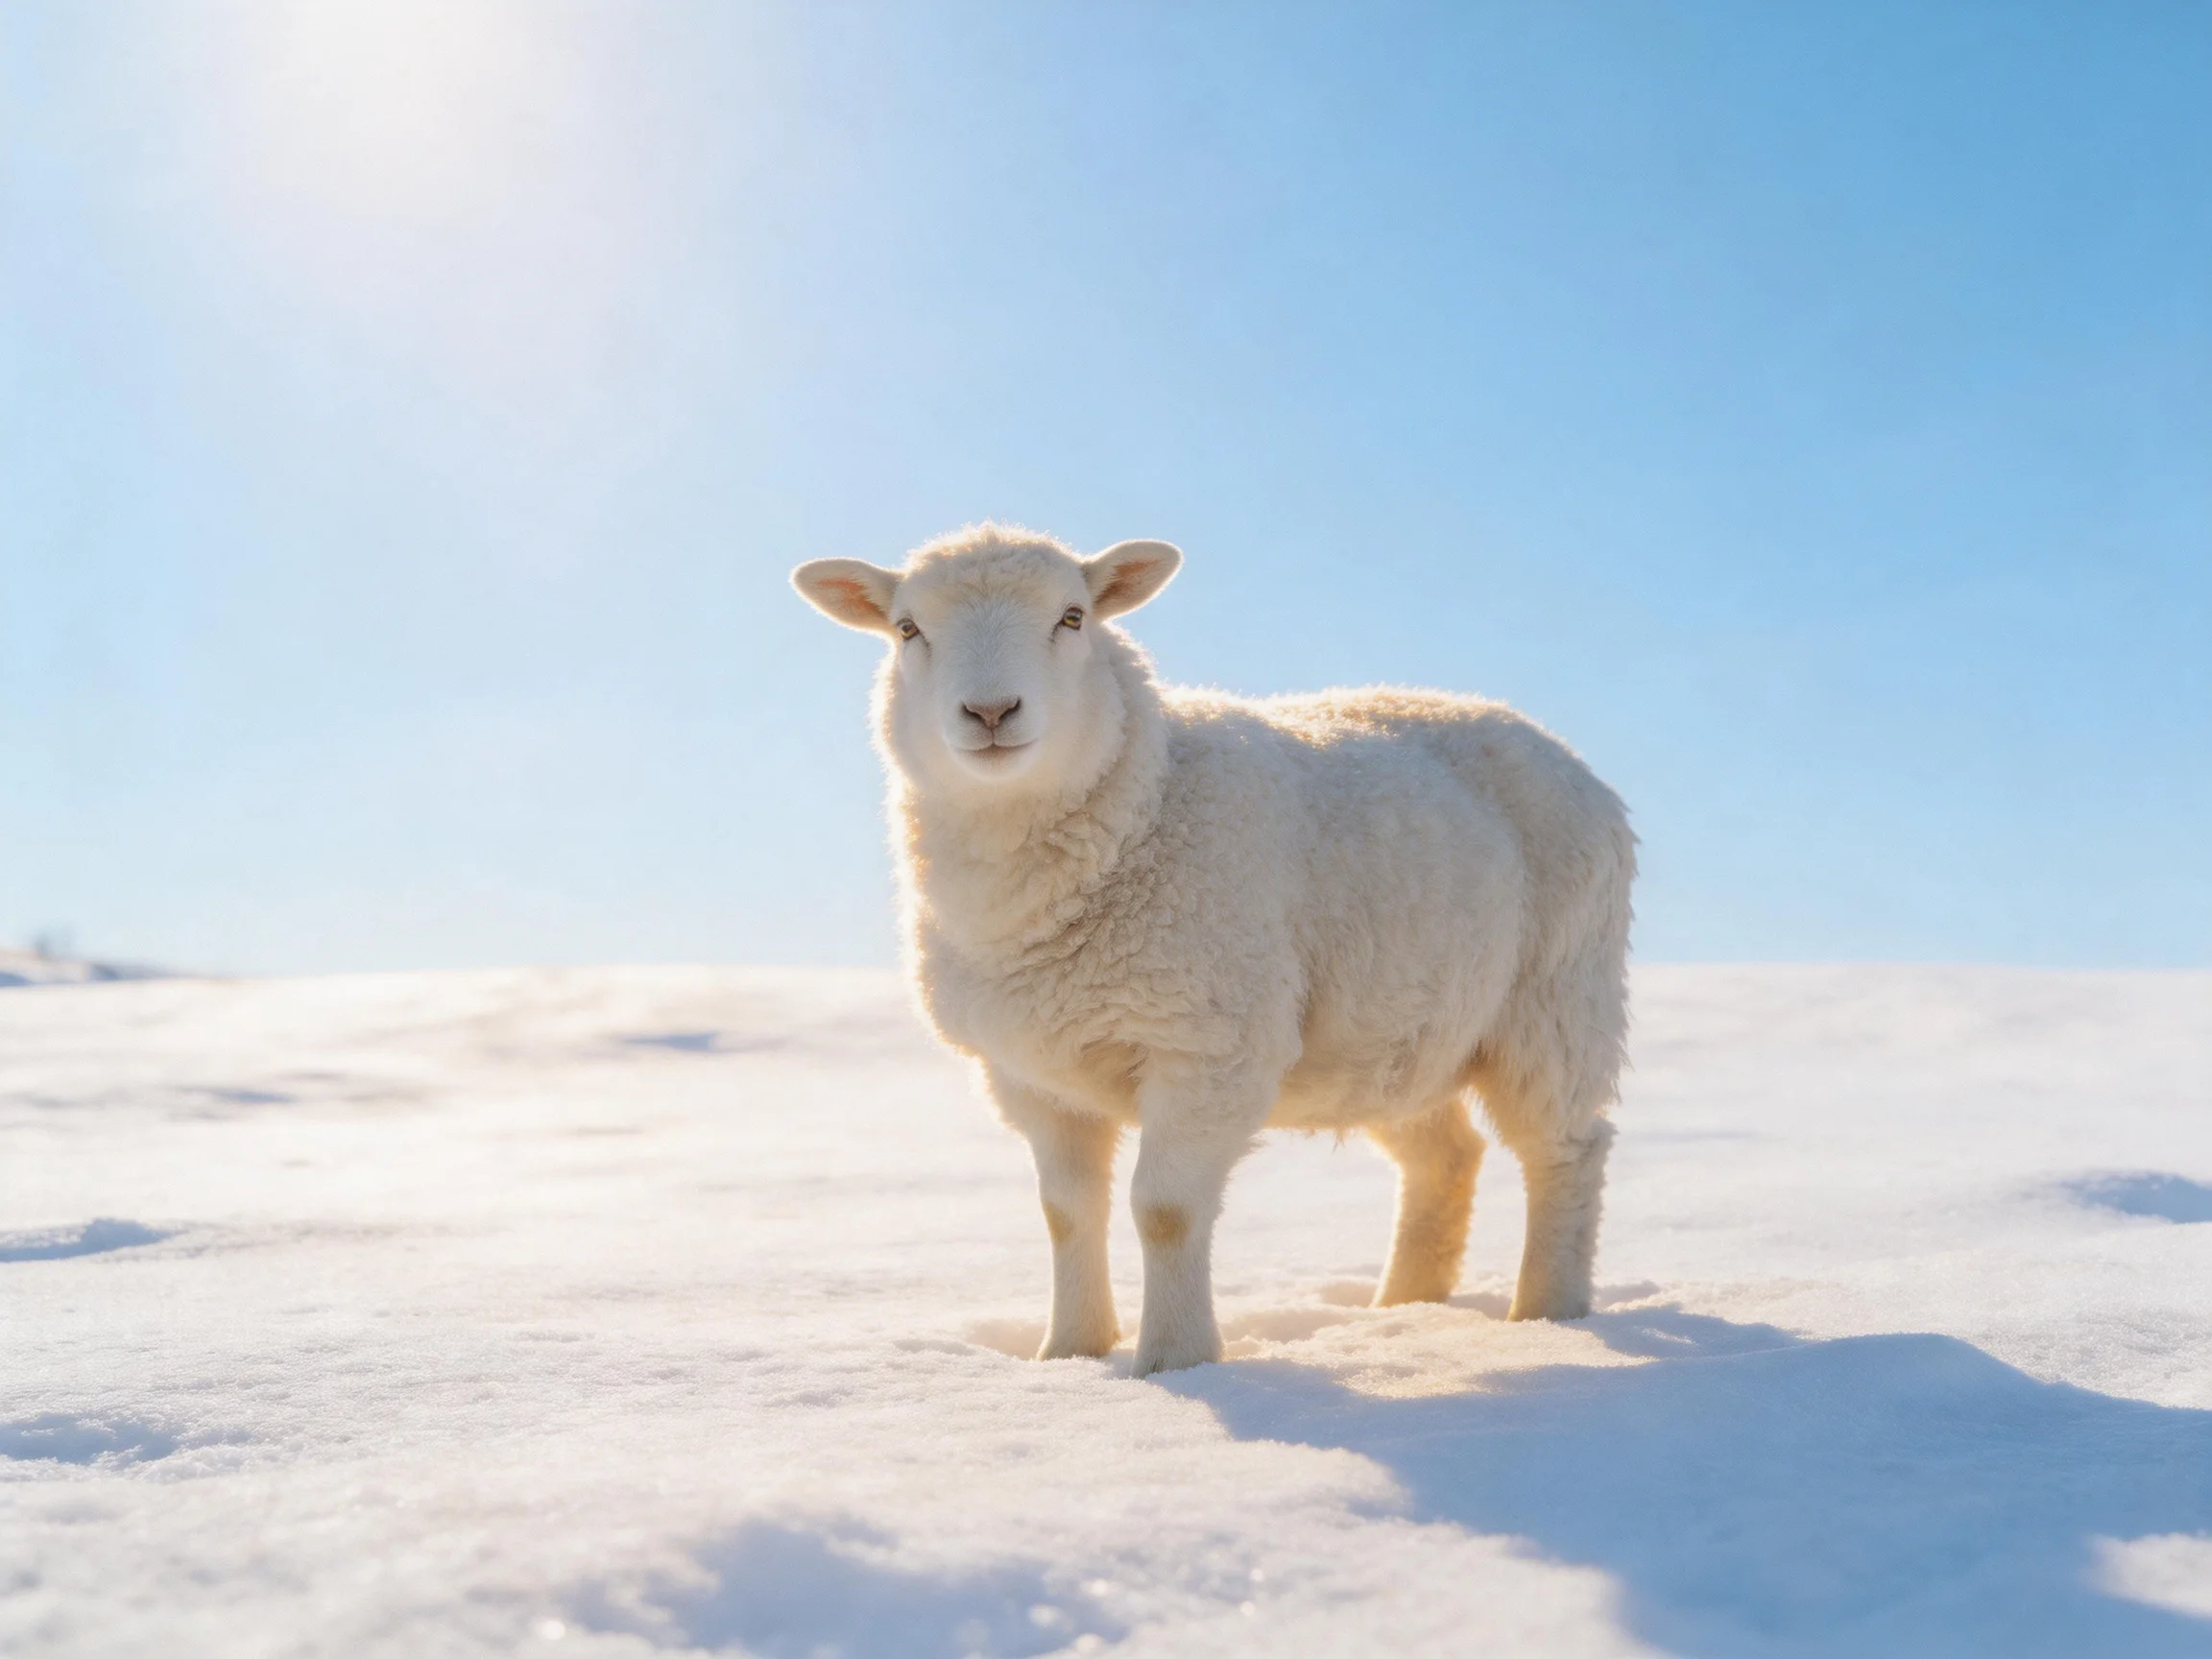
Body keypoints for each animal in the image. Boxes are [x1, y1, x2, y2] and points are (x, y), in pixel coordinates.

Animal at [792, 523, 1635, 1378]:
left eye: (1072, 616)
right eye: (907, 630)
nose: (991, 710)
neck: (1150, 797)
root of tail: (1554, 747)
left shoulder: (1208, 1047)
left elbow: (1163, 1210)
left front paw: (1175, 1361)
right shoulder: (1032, 1074)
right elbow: (1067, 1212)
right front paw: (1069, 1354)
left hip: (1557, 997)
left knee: (1565, 1149)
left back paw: (1546, 1313)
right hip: (1395, 1035)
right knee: (1445, 1157)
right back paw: (1401, 1310)